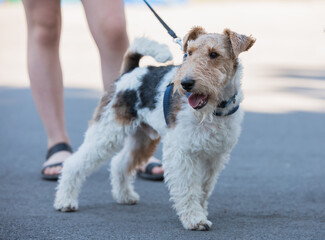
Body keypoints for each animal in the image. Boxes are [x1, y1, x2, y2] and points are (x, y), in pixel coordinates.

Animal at [54, 26, 254, 231]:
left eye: (214, 54)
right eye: (189, 53)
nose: (186, 83)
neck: (216, 110)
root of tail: (131, 72)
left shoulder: (214, 156)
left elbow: (203, 189)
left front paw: (200, 212)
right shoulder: (181, 152)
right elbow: (189, 188)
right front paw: (195, 219)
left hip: (142, 140)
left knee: (119, 163)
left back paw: (125, 196)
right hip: (107, 132)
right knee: (73, 163)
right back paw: (65, 201)